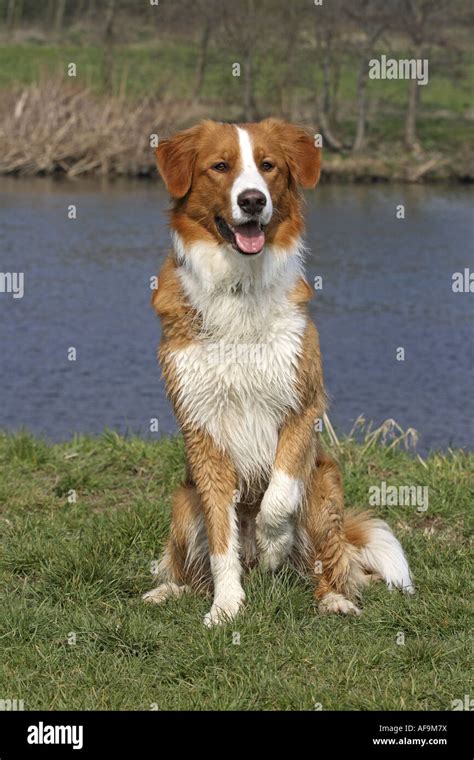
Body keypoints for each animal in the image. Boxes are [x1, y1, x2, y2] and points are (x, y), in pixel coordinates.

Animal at [143, 119, 412, 628]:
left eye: (268, 166)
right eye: (220, 166)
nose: (252, 200)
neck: (240, 283)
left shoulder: (302, 405)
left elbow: (278, 496)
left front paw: (272, 544)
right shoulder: (202, 427)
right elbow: (221, 540)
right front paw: (227, 606)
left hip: (325, 487)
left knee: (329, 561)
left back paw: (330, 596)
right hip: (182, 502)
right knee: (194, 564)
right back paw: (169, 591)